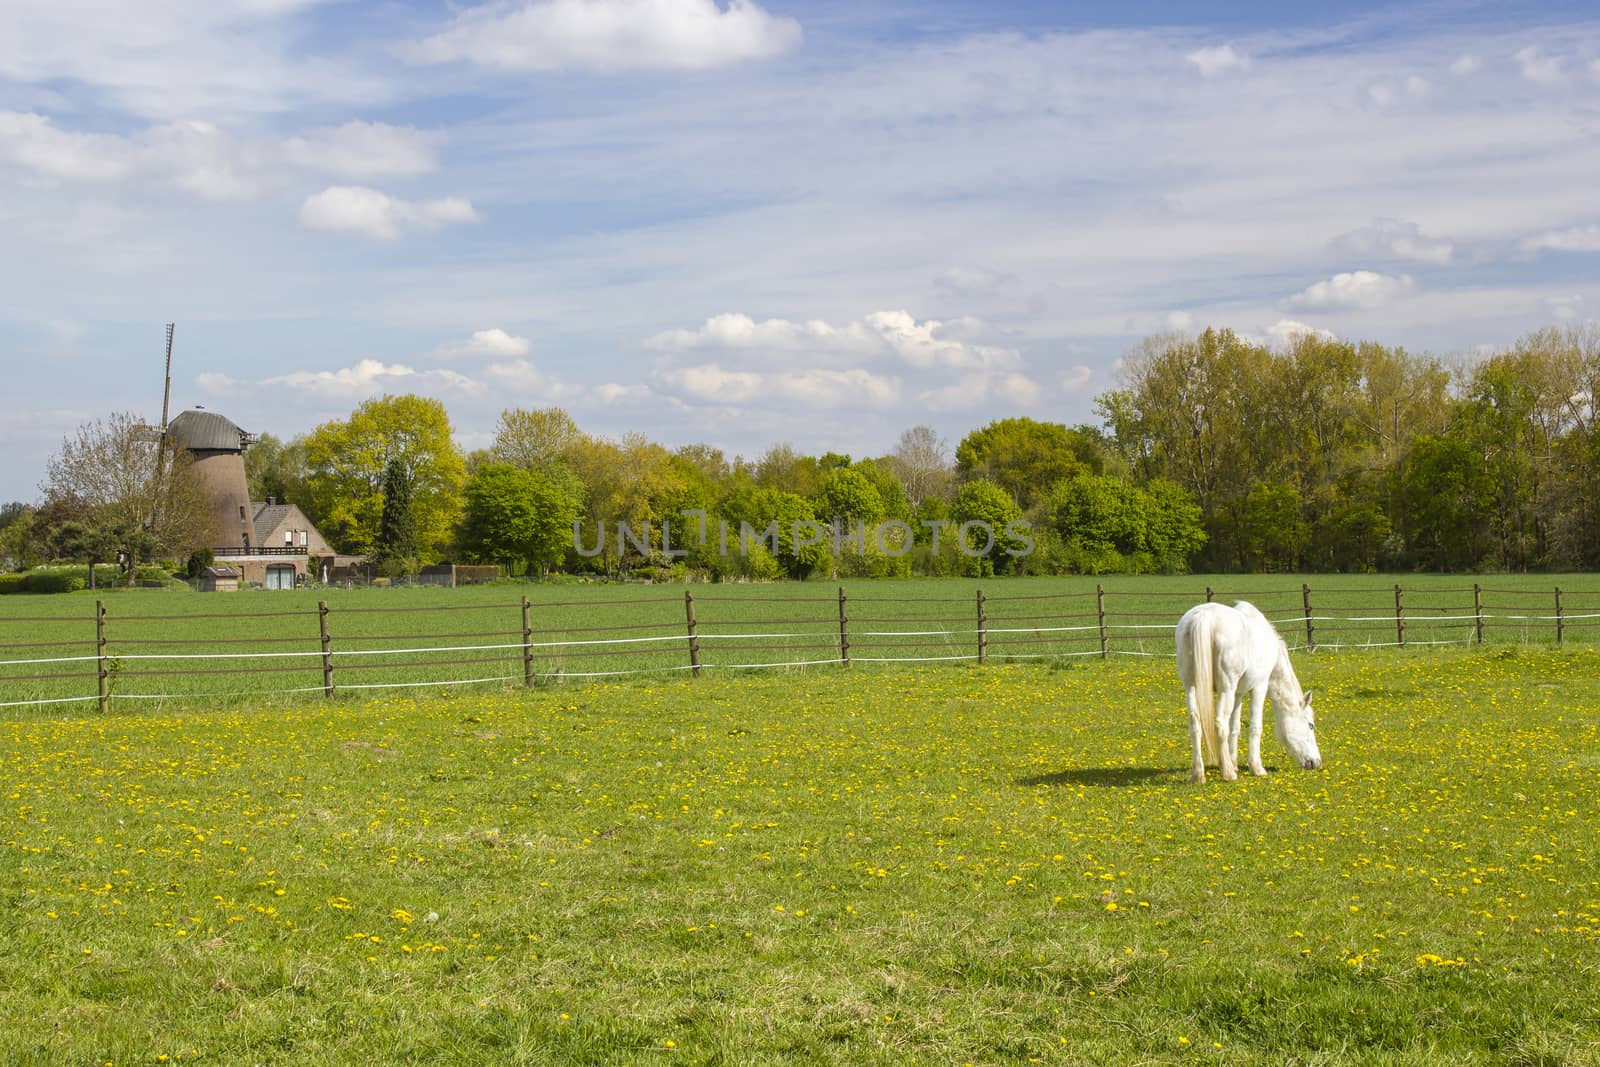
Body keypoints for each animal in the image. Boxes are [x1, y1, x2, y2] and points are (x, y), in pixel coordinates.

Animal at [1177, 601, 1324, 783]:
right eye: (1311, 725)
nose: (1316, 762)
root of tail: (1204, 616)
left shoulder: (1238, 694)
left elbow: (1235, 727)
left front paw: (1233, 762)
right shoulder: (1259, 687)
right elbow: (1255, 727)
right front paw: (1256, 768)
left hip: (1191, 687)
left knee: (1195, 724)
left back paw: (1198, 774)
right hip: (1226, 689)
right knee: (1220, 724)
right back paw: (1228, 774)